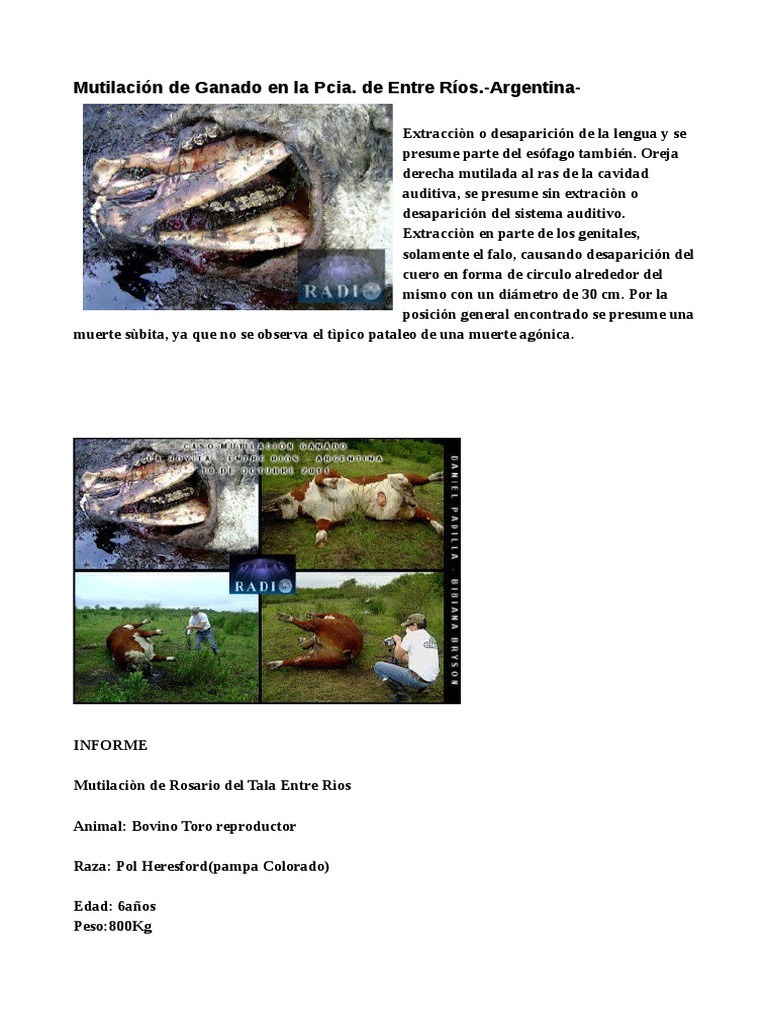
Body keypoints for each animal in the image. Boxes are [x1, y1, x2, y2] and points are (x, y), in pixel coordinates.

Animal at [262, 470, 444, 547]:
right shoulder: (326, 519)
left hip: (404, 475)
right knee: (427, 514)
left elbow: (322, 479)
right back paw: (440, 528)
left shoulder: (326, 474)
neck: (304, 503)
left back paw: (437, 476)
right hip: (405, 513)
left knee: (423, 479)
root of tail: (409, 499)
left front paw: (332, 483)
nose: (263, 509)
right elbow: (321, 531)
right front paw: (320, 541)